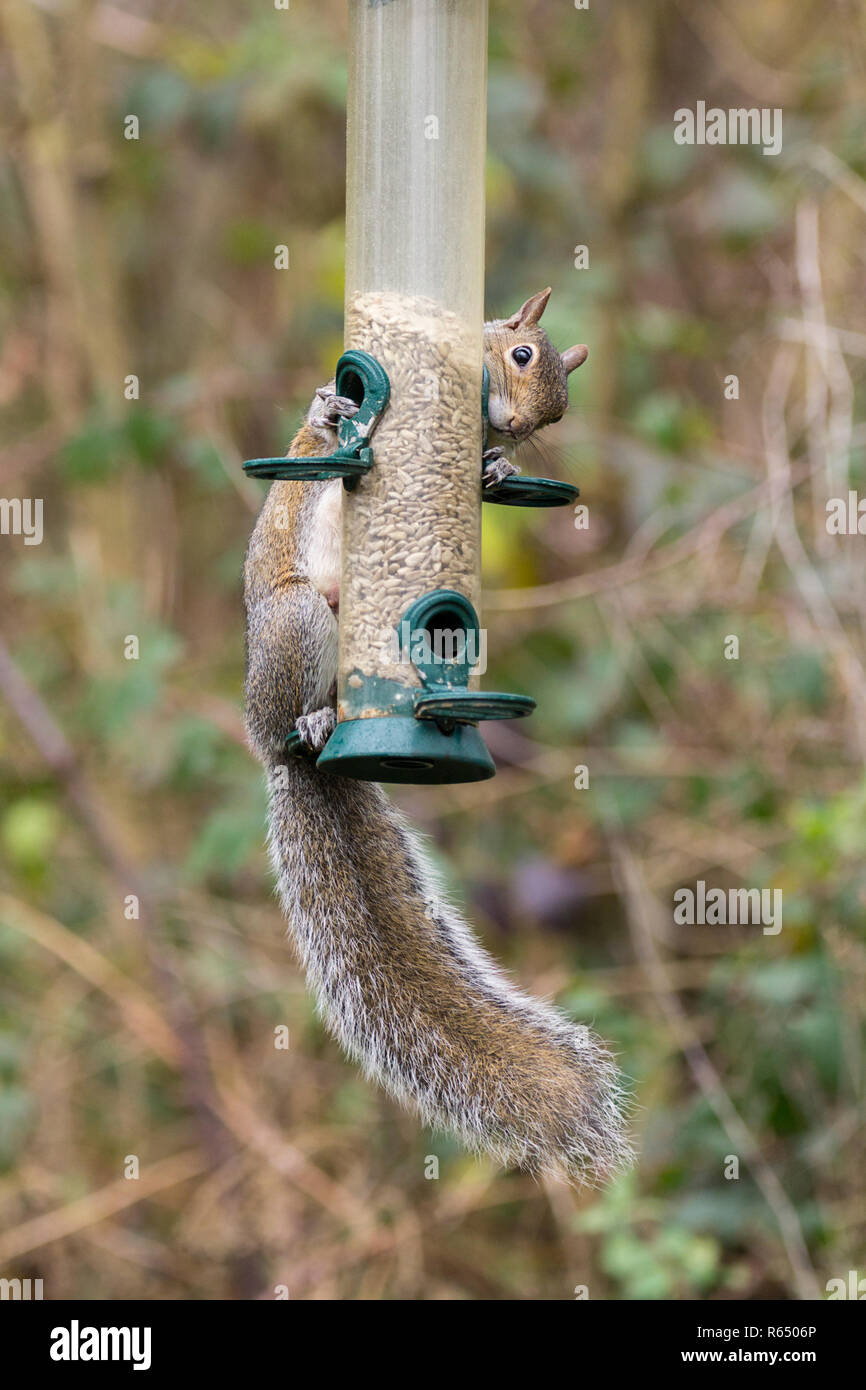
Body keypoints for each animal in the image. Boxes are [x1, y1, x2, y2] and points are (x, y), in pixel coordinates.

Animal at [243, 287, 633, 1183]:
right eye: (521, 355)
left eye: (557, 409)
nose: (514, 425)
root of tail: (287, 754)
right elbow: (316, 435)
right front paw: (332, 409)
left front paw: (494, 468)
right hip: (296, 623)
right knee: (289, 707)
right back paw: (307, 718)